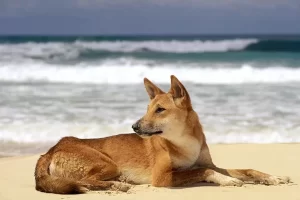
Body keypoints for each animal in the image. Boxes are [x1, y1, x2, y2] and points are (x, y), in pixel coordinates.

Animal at [35, 75, 290, 194]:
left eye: (159, 110)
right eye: (148, 109)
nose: (134, 127)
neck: (185, 144)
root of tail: (51, 149)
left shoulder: (209, 163)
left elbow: (246, 169)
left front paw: (272, 177)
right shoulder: (162, 177)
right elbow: (203, 171)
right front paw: (227, 180)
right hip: (107, 163)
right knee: (82, 180)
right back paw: (118, 186)